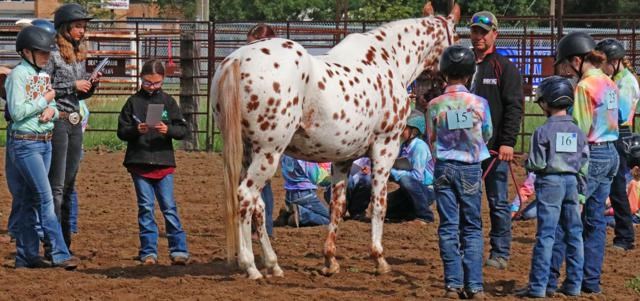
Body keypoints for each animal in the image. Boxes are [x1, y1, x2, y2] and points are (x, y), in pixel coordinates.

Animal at [212, 2, 458, 278]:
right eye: (457, 37)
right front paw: (379, 259)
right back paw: (251, 266)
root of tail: (237, 59)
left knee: (258, 205)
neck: (389, 59)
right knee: (245, 196)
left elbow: (338, 205)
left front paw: (330, 260)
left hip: (248, 153)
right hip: (268, 152)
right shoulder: (386, 146)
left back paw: (273, 264)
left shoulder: (343, 157)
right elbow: (379, 203)